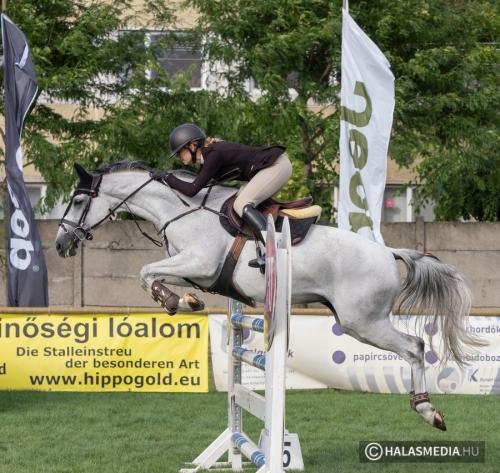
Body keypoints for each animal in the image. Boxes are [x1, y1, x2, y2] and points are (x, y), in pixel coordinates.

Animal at [55, 160, 486, 431]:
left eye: (77, 200)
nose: (60, 244)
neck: (182, 211)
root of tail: (389, 252)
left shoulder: (199, 263)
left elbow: (145, 272)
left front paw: (177, 303)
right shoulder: (190, 269)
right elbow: (152, 276)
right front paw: (186, 302)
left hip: (362, 322)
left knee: (415, 346)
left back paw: (428, 411)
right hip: (359, 322)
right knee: (414, 346)